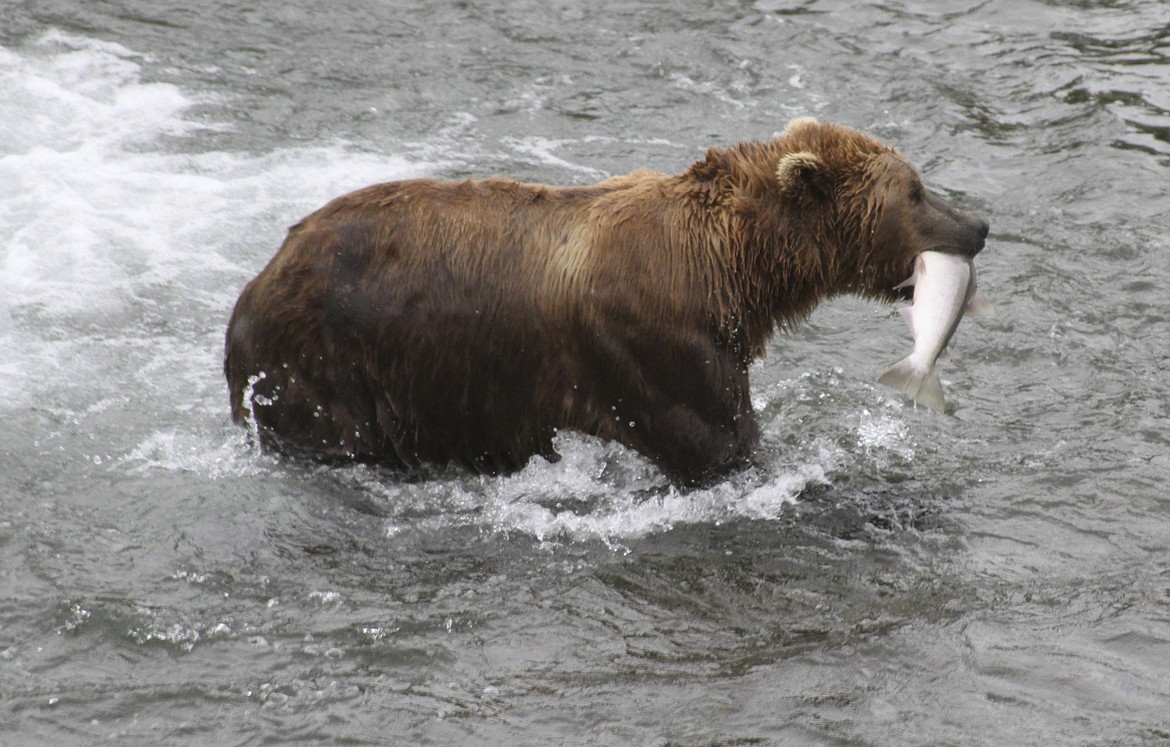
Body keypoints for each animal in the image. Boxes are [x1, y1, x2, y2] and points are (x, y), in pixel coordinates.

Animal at [221, 118, 987, 487]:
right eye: (915, 190)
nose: (978, 224)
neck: (732, 270)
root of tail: (256, 281)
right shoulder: (656, 347)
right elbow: (722, 444)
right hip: (322, 364)